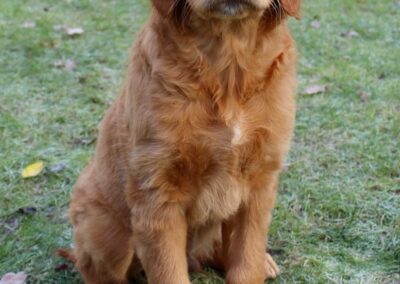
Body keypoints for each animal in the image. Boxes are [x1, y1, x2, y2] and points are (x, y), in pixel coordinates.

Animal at [68, 1, 300, 282]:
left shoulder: (259, 183)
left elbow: (247, 261)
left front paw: (255, 264)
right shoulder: (156, 193)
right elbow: (169, 271)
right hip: (105, 231)